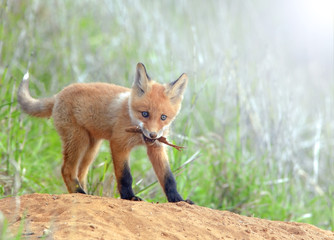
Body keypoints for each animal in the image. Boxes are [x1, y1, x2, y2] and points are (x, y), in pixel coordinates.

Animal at [17, 62, 192, 203]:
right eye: (145, 114)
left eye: (163, 117)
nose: (153, 135)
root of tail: (59, 94)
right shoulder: (118, 144)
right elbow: (125, 176)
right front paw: (129, 197)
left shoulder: (156, 148)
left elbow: (168, 178)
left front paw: (178, 199)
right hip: (79, 141)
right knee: (66, 170)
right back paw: (79, 192)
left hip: (91, 148)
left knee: (81, 173)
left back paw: (85, 193)